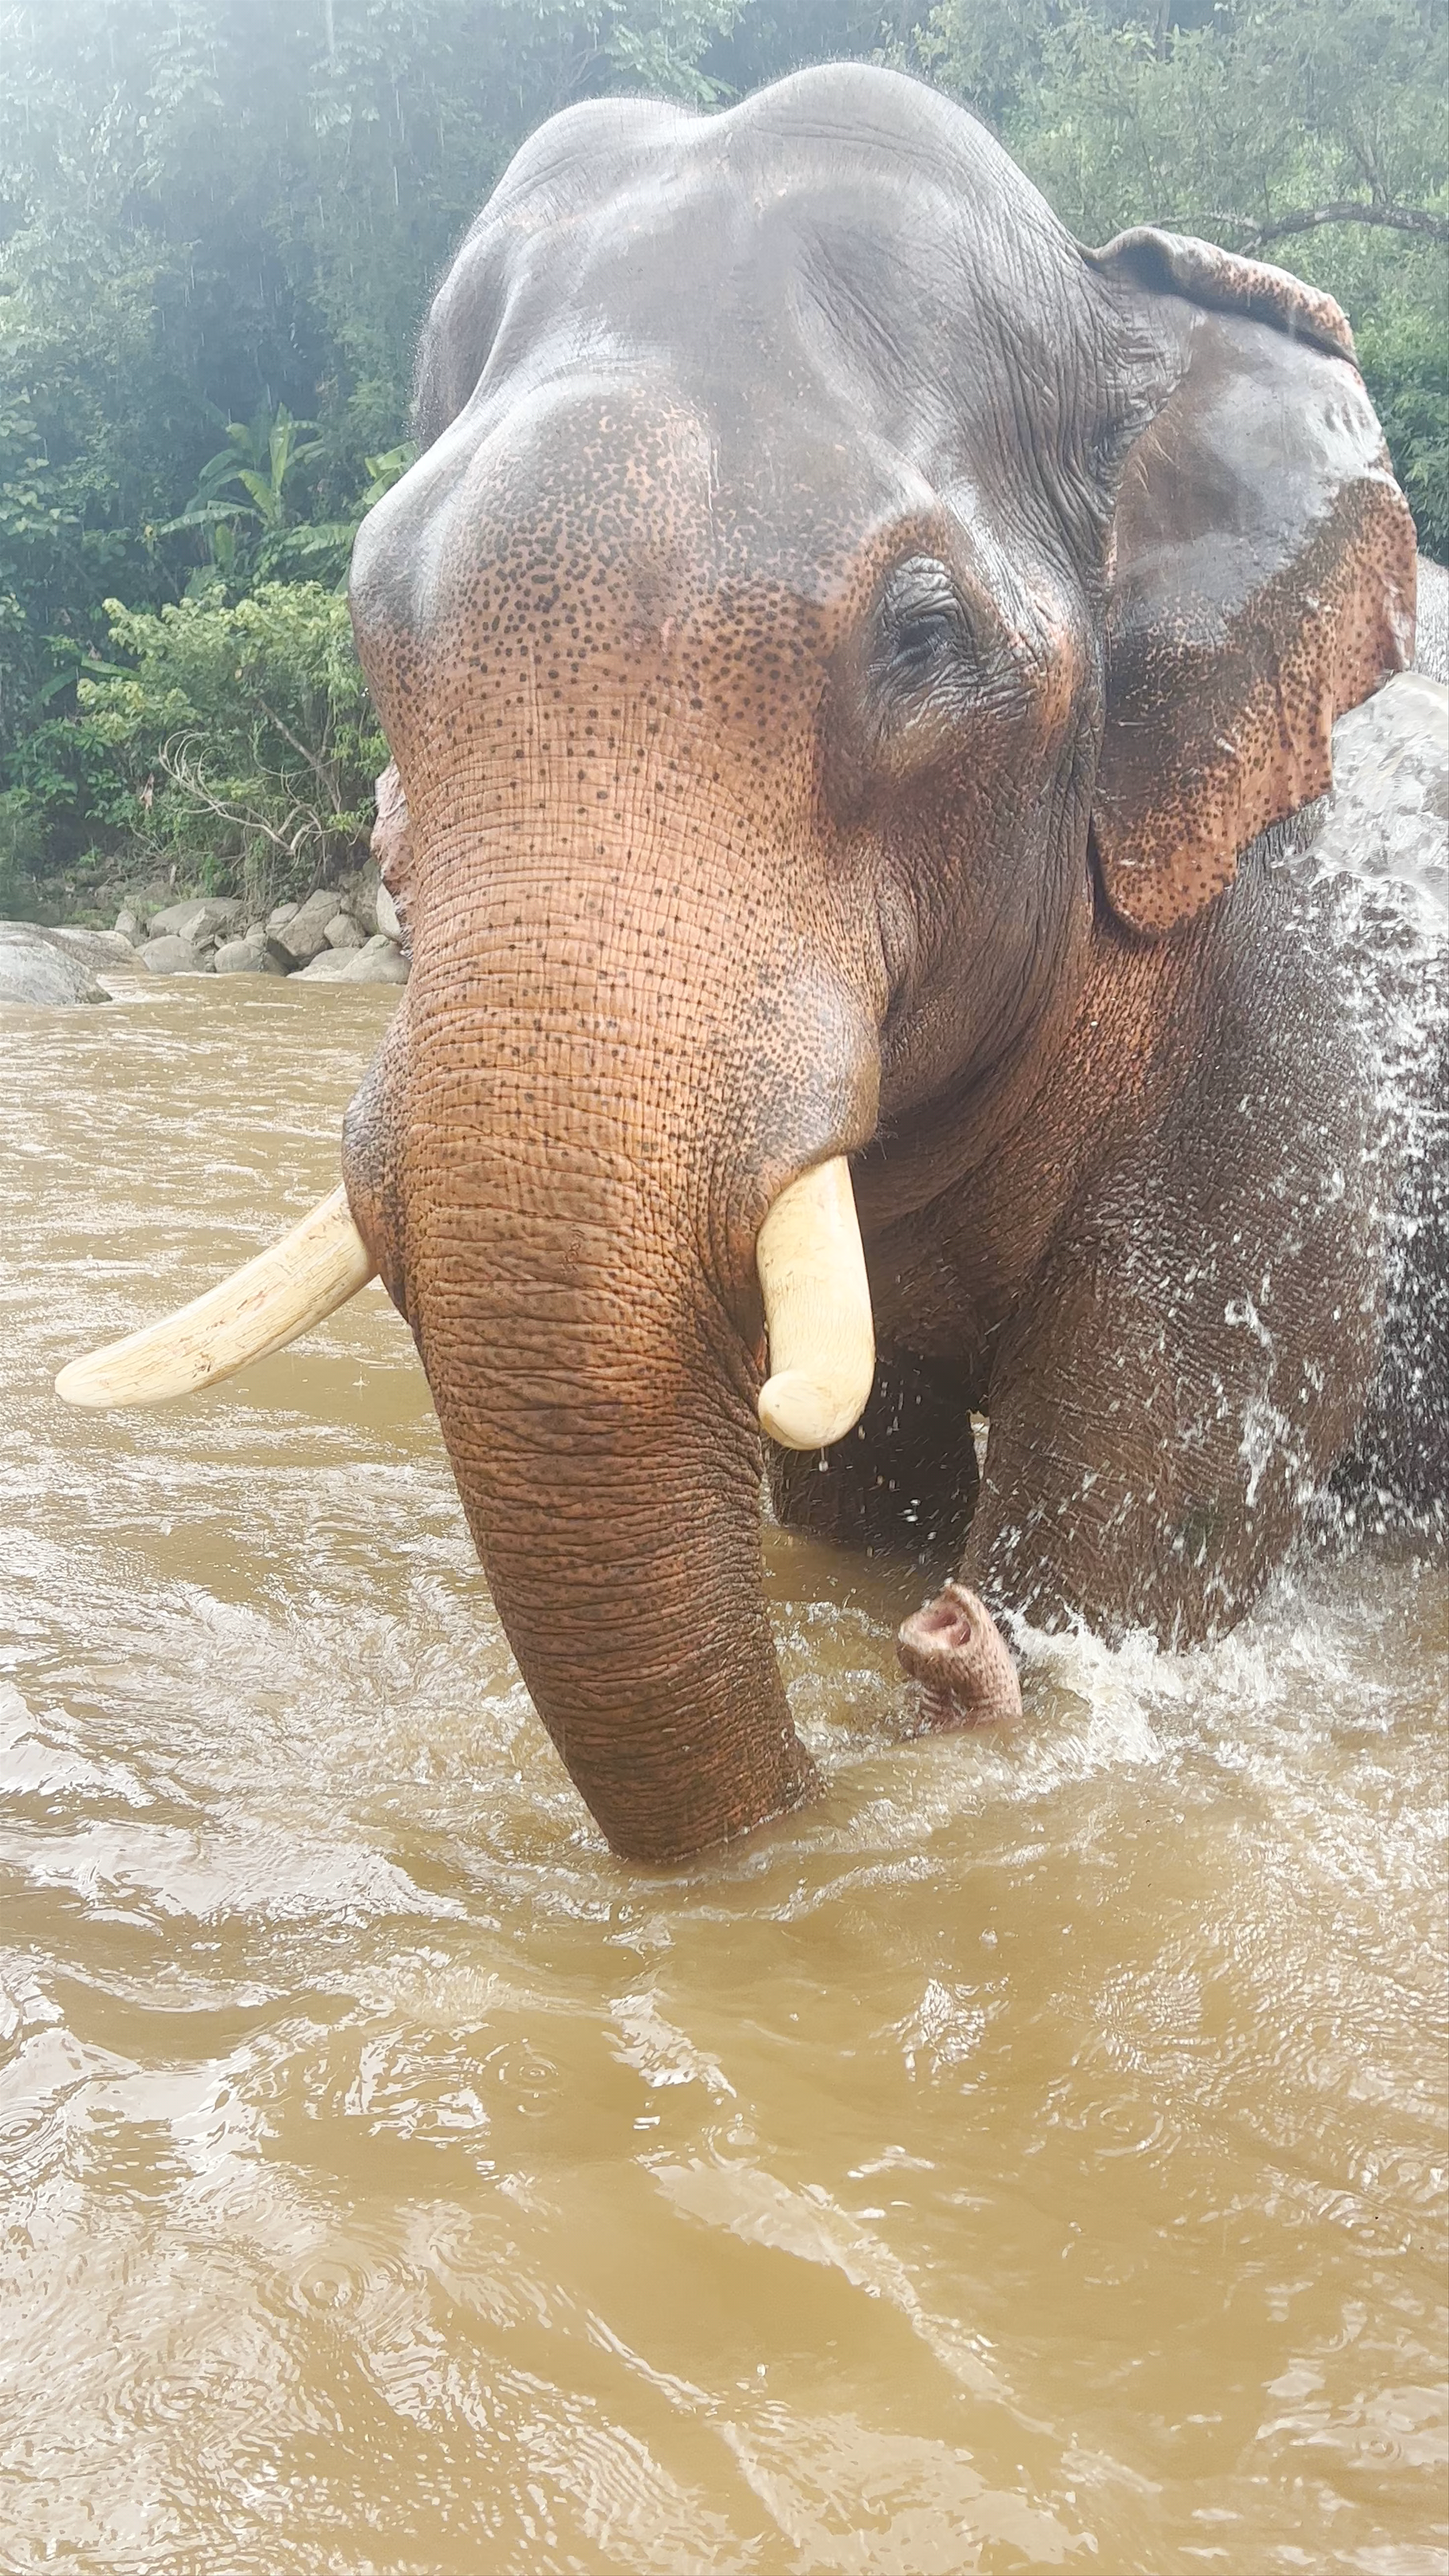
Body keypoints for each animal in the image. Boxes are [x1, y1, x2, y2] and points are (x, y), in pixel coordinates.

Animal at [59, 66, 1446, 1865]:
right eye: (373, 642)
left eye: (921, 641)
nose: (942, 1649)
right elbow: (861, 1475)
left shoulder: (1276, 1031)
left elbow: (1152, 1495)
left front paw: (1009, 1639)